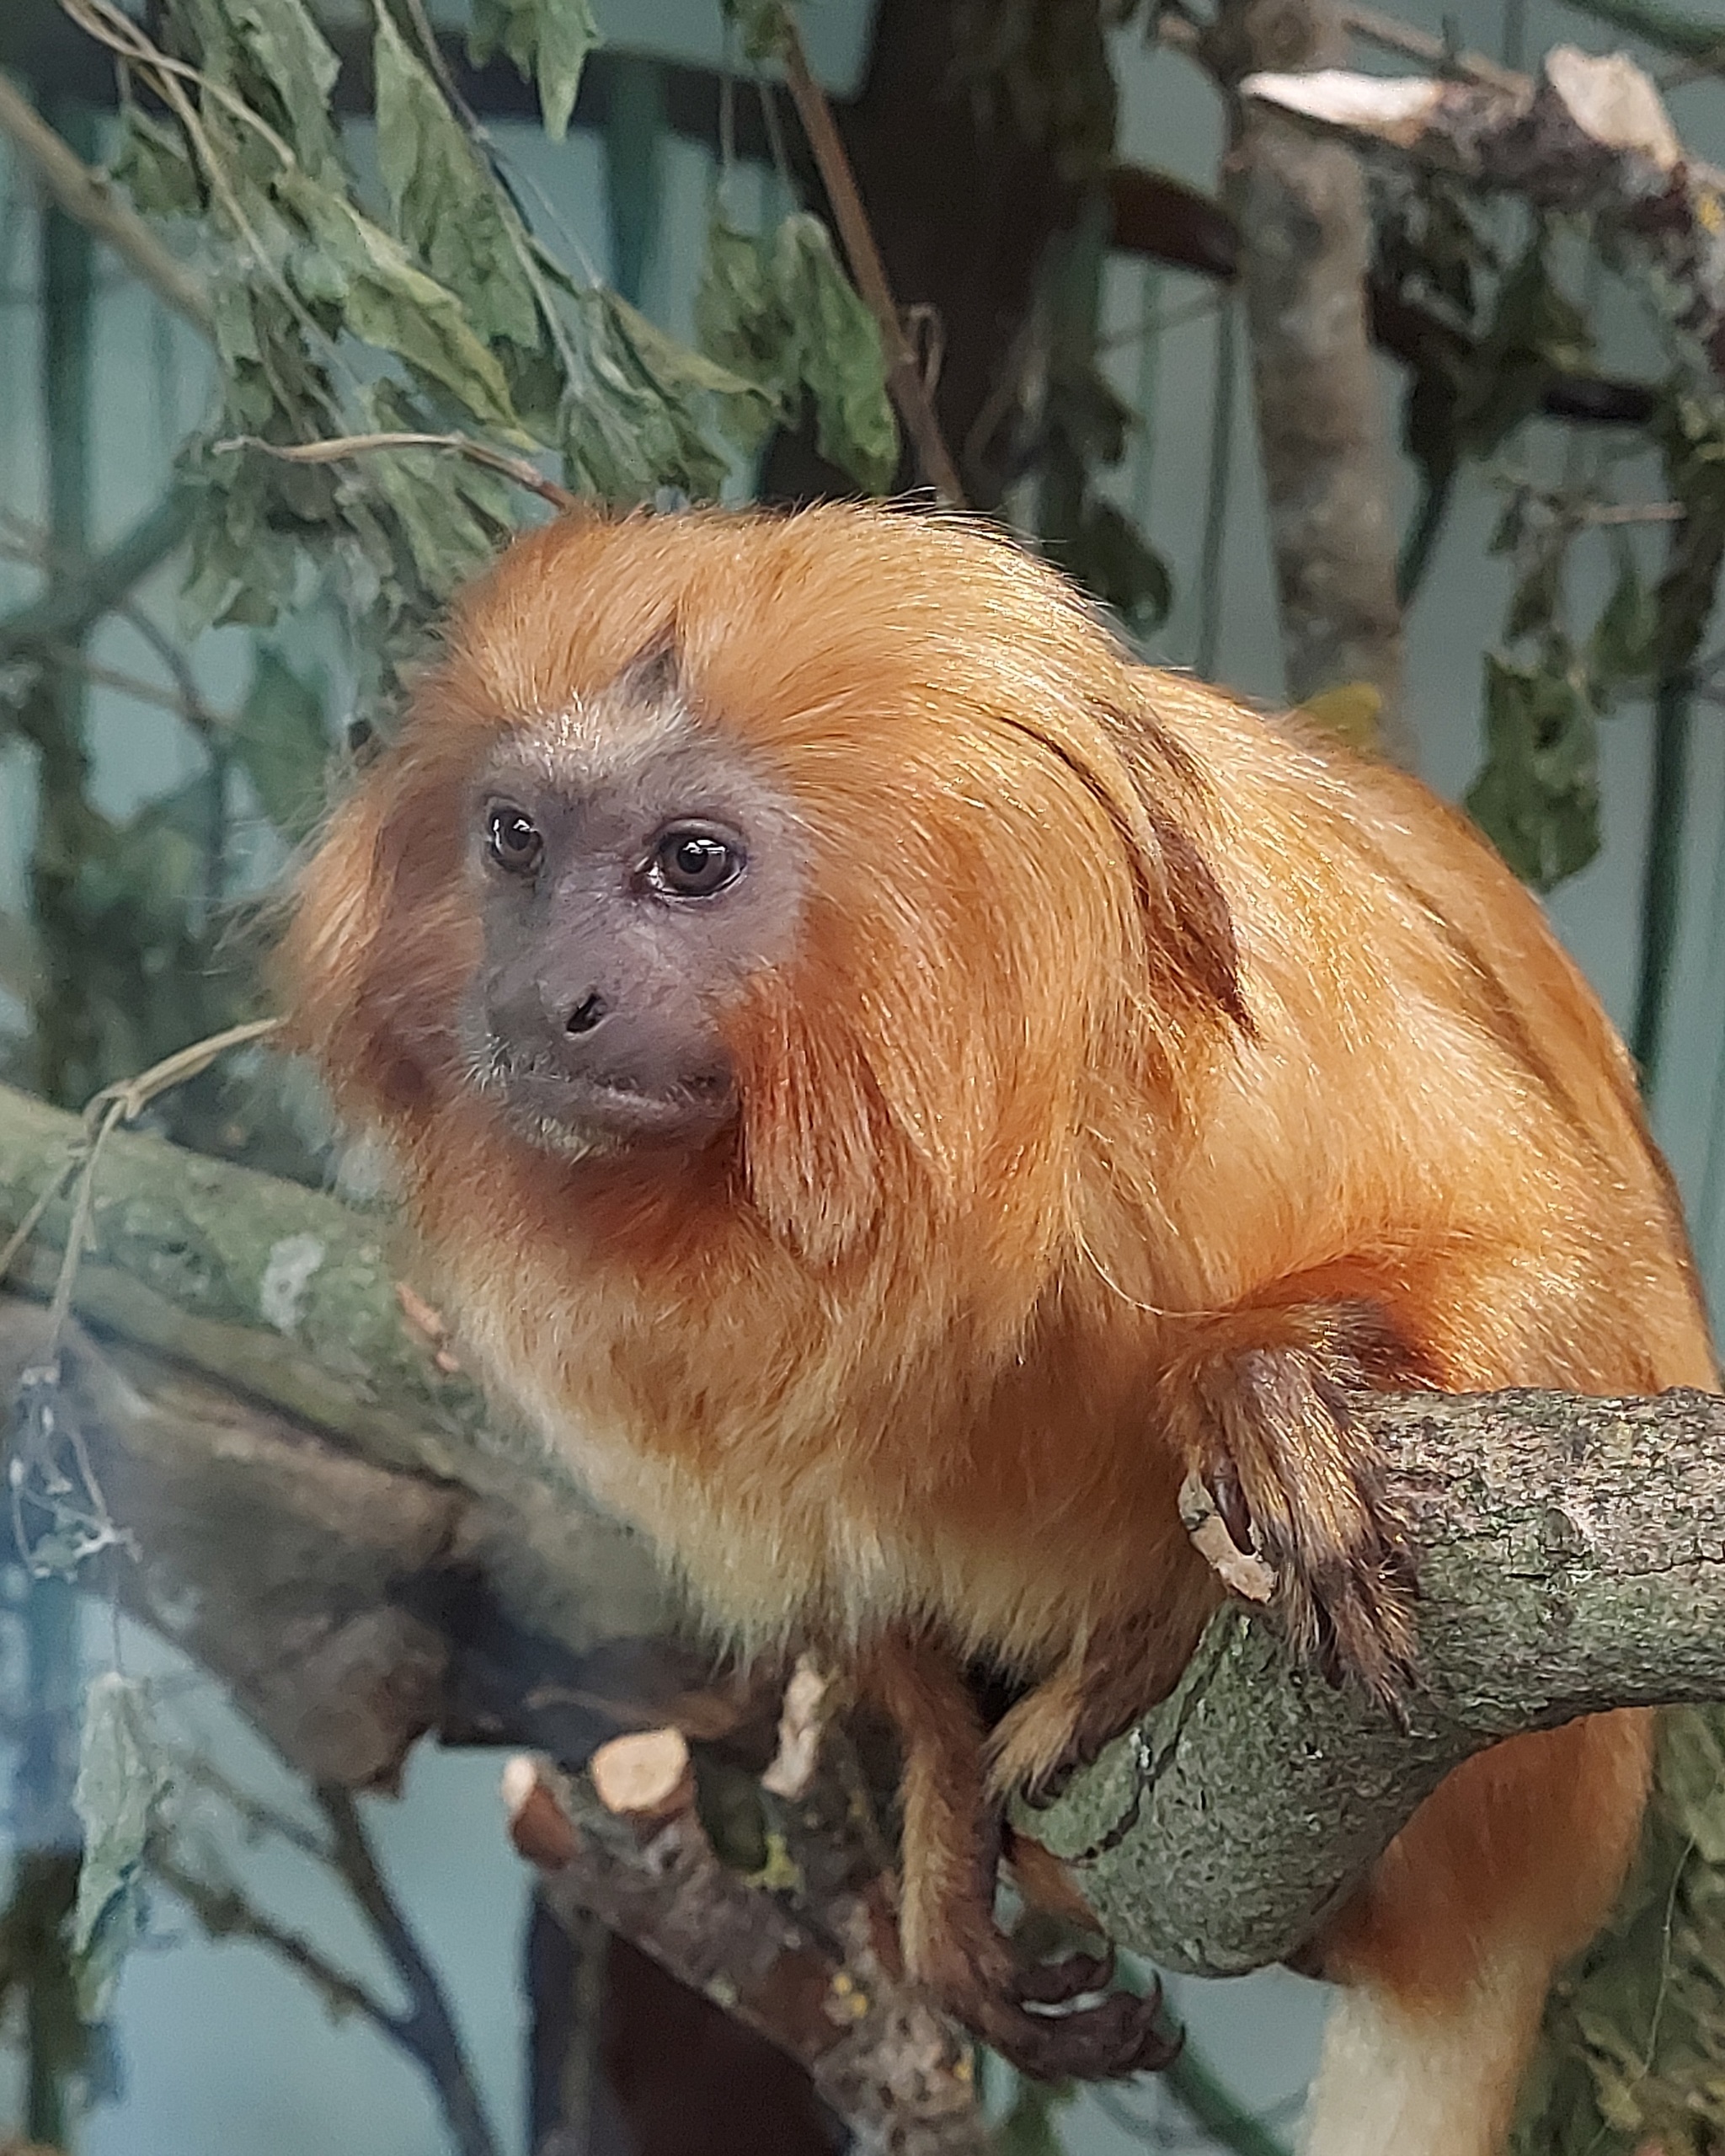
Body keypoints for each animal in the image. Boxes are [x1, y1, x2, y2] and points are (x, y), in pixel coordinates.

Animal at [280, 495, 1707, 2147]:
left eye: (690, 863)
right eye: (515, 838)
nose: (545, 994)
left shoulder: (1285, 1019)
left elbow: (1555, 1261)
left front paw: (1270, 1386)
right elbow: (860, 1568)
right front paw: (942, 1823)